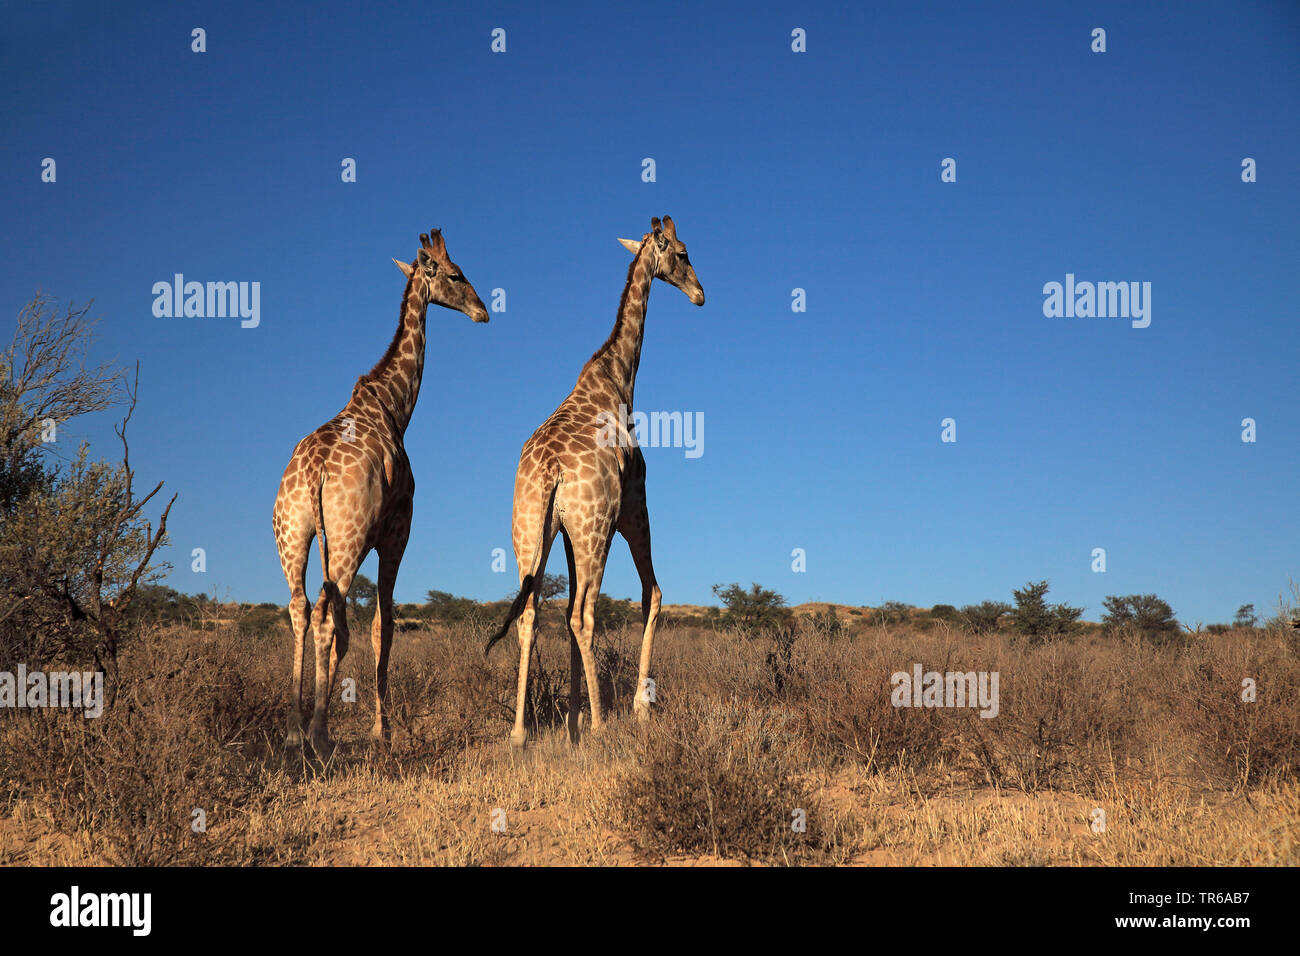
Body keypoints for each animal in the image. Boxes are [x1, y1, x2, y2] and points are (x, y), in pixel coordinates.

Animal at [273, 228, 488, 757]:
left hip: (293, 533)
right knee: (326, 616)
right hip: (347, 541)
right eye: (457, 275)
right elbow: (381, 627)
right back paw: (318, 734)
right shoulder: (397, 532)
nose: (482, 311)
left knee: (300, 610)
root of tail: (313, 473)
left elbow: (352, 629)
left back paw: (293, 731)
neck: (395, 407)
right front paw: (381, 730)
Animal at [485, 215, 704, 750]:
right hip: (597, 528)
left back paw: (521, 733)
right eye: (683, 253)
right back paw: (605, 724)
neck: (619, 374)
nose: (700, 294)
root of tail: (550, 471)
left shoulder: (565, 532)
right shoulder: (634, 506)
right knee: (584, 613)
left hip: (531, 530)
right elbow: (653, 595)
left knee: (532, 613)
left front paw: (572, 720)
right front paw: (635, 709)